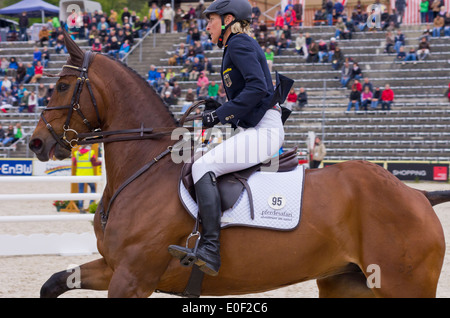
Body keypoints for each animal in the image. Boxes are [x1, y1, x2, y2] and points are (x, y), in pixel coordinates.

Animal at [30, 30, 450, 298]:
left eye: (62, 86)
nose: (36, 142)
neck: (143, 168)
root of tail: (418, 197)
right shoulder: (114, 267)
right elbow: (54, 282)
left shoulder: (133, 277)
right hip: (345, 283)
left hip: (403, 285)